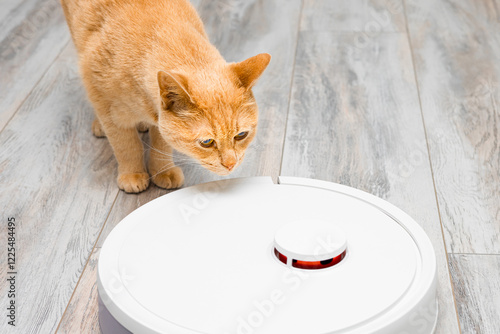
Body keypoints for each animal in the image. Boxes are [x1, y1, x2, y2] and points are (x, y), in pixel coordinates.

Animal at [60, 0, 272, 193]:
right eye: (207, 142)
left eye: (241, 135)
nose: (230, 165)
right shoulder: (110, 111)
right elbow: (127, 146)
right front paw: (133, 173)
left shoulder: (158, 118)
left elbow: (161, 144)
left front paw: (163, 171)